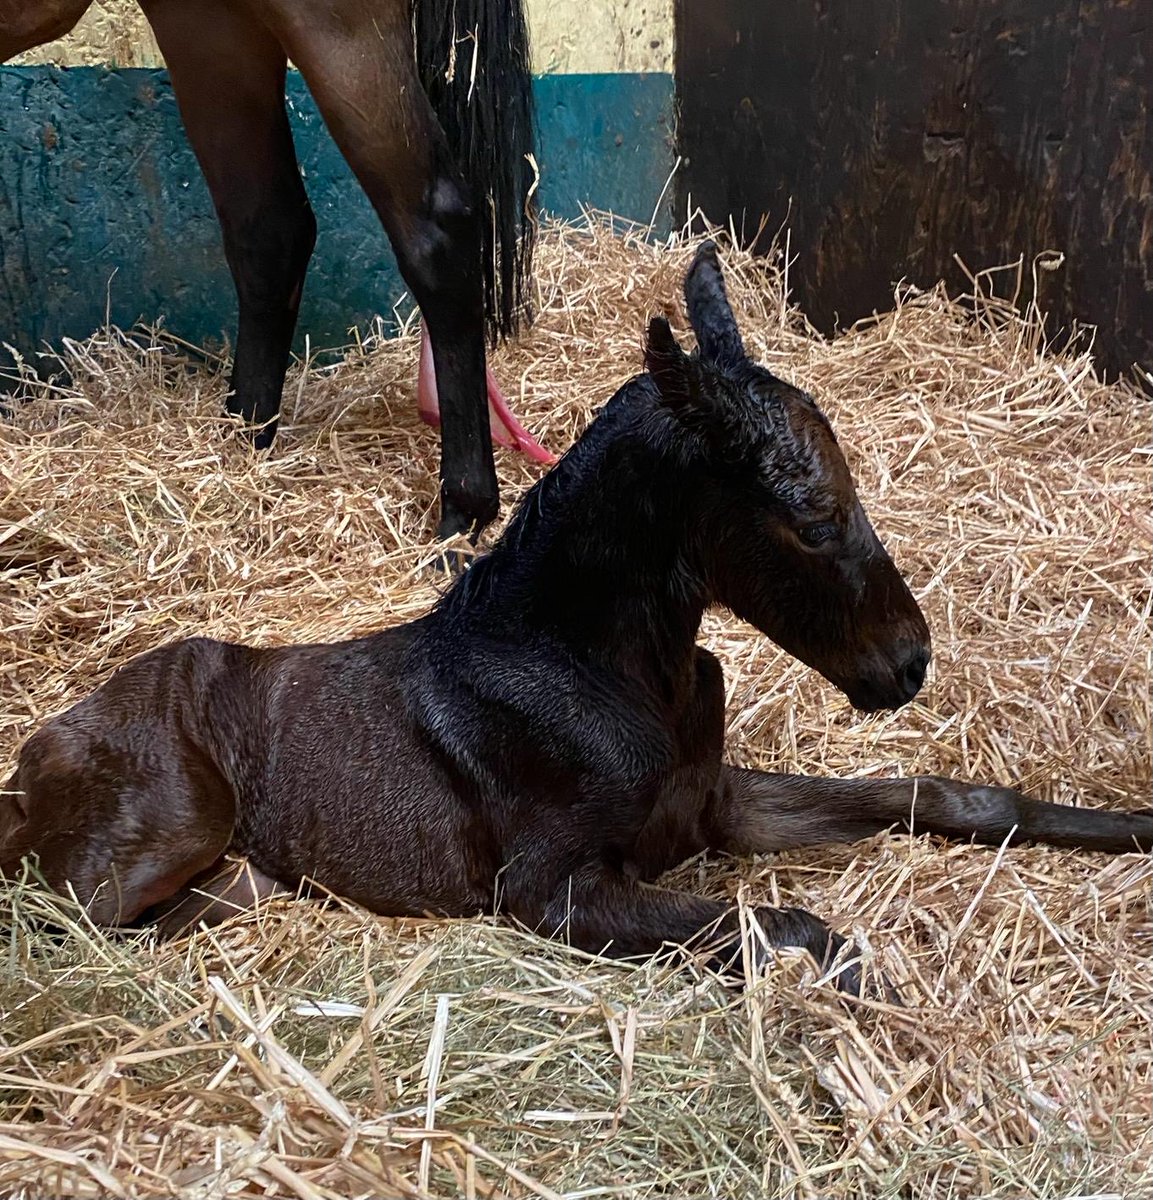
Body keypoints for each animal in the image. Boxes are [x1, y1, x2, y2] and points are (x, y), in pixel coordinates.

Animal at [4, 246, 1147, 993]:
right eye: (814, 518)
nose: (908, 663)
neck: (606, 668)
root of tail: (37, 751)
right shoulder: (553, 890)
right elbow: (793, 930)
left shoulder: (715, 806)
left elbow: (945, 797)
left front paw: (1128, 826)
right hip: (165, 832)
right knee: (59, 911)